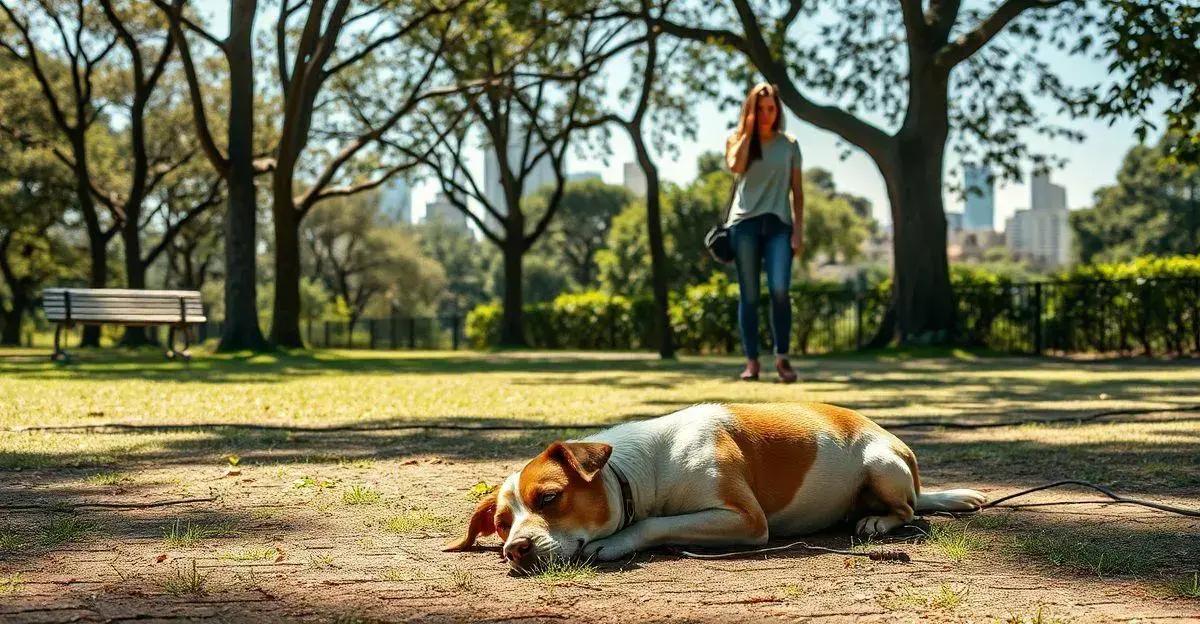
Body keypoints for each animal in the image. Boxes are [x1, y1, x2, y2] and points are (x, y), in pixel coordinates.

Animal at [446, 403, 988, 573]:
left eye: (550, 497)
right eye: (501, 525)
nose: (514, 550)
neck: (646, 467)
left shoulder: (744, 520)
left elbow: (654, 522)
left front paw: (614, 543)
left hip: (880, 465)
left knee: (910, 510)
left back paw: (876, 518)